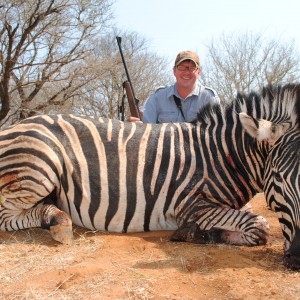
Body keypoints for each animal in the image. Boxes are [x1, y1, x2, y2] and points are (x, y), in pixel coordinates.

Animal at [0, 83, 298, 268]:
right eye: (279, 178)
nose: (297, 258)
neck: (219, 154)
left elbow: (254, 223)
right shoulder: (193, 205)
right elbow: (260, 227)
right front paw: (195, 233)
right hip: (40, 165)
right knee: (6, 216)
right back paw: (59, 223)